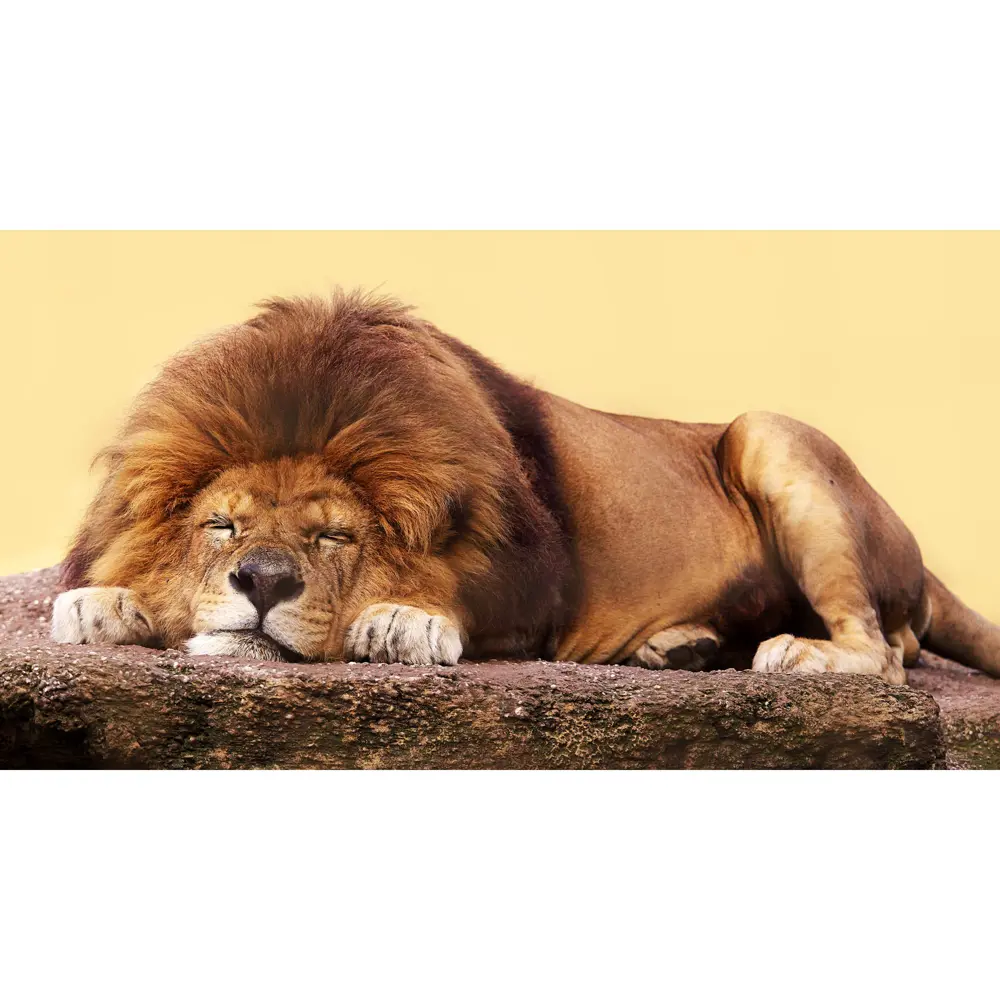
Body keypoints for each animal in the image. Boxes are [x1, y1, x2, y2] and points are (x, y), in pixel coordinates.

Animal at [51, 290, 1000, 685]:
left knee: (888, 655)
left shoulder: (537, 587)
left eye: (334, 536)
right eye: (222, 527)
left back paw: (800, 655)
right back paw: (681, 648)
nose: (263, 583)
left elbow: (457, 603)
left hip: (771, 432)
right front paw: (100, 605)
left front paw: (402, 621)